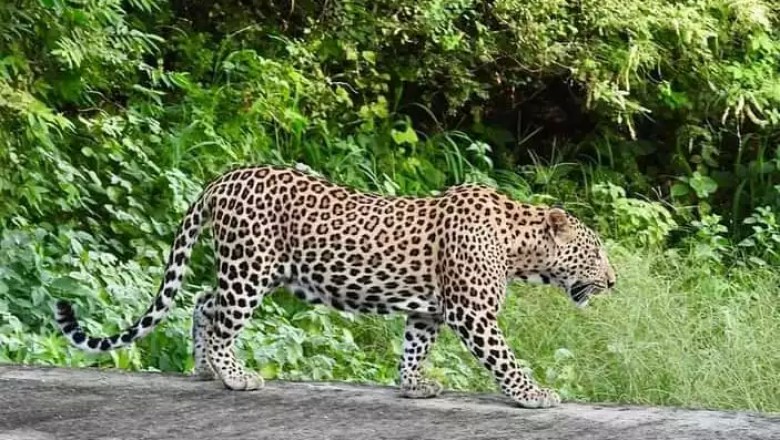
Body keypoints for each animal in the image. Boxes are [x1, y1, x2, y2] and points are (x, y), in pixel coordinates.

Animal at [54, 164, 616, 409]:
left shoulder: (429, 310)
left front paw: (412, 385)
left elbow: (414, 347)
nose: (613, 281)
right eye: (594, 251)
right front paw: (534, 395)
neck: (520, 247)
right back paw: (234, 376)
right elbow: (505, 360)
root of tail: (223, 177)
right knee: (219, 319)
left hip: (249, 269)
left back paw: (205, 370)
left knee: (202, 301)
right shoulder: (472, 313)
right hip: (250, 269)